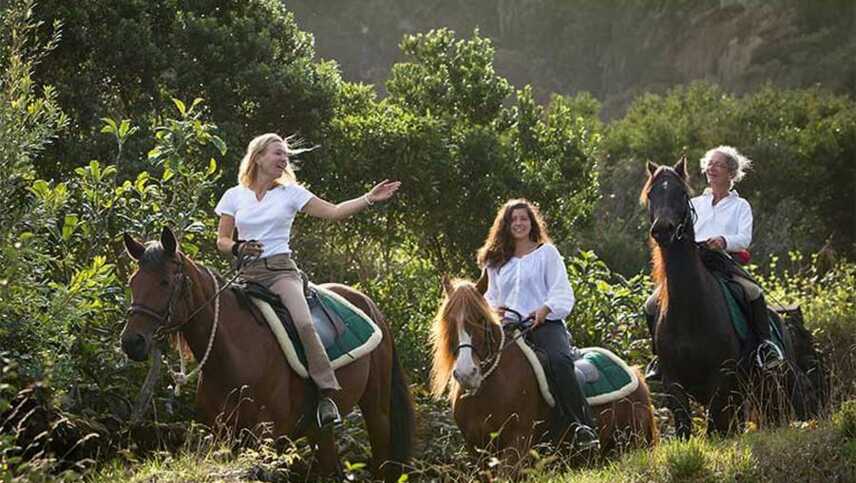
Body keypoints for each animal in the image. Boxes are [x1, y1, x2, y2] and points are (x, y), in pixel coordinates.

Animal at [119, 229, 414, 482]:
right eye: (133, 282)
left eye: (165, 282)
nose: (131, 342)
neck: (234, 357)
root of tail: (369, 304)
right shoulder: (223, 437)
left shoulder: (267, 437)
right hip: (320, 430)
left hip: (376, 411)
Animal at [432, 280, 660, 468]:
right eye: (449, 320)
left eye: (480, 319)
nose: (466, 374)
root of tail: (637, 376)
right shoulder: (476, 451)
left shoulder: (517, 445)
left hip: (633, 444)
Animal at [640, 158, 824, 438]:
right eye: (652, 194)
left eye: (681, 193)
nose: (663, 229)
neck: (689, 310)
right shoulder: (673, 382)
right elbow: (684, 427)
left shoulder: (722, 378)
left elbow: (714, 428)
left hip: (771, 383)